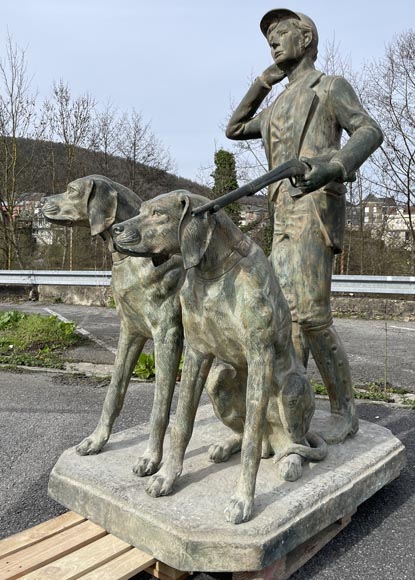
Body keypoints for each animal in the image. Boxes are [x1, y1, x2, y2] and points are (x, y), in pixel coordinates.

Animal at [41, 177, 185, 476]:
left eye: (72, 189)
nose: (40, 201)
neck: (134, 258)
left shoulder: (167, 336)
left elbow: (159, 407)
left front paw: (151, 458)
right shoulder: (130, 332)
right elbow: (114, 391)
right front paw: (96, 440)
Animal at [114, 191, 328, 524]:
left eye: (158, 213)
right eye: (141, 210)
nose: (116, 229)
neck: (212, 273)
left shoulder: (260, 355)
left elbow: (251, 442)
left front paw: (242, 500)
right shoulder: (196, 354)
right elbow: (182, 424)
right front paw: (166, 476)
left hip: (293, 390)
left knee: (288, 440)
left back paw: (290, 460)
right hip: (218, 380)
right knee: (257, 437)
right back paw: (227, 445)